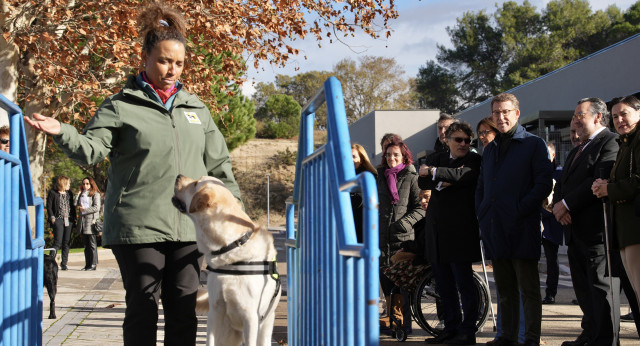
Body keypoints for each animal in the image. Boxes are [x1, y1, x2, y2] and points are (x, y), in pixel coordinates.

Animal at [172, 176, 280, 346]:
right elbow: (209, 341)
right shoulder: (215, 312)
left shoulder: (251, 317)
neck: (232, 245)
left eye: (195, 183)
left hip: (264, 329)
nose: (178, 176)